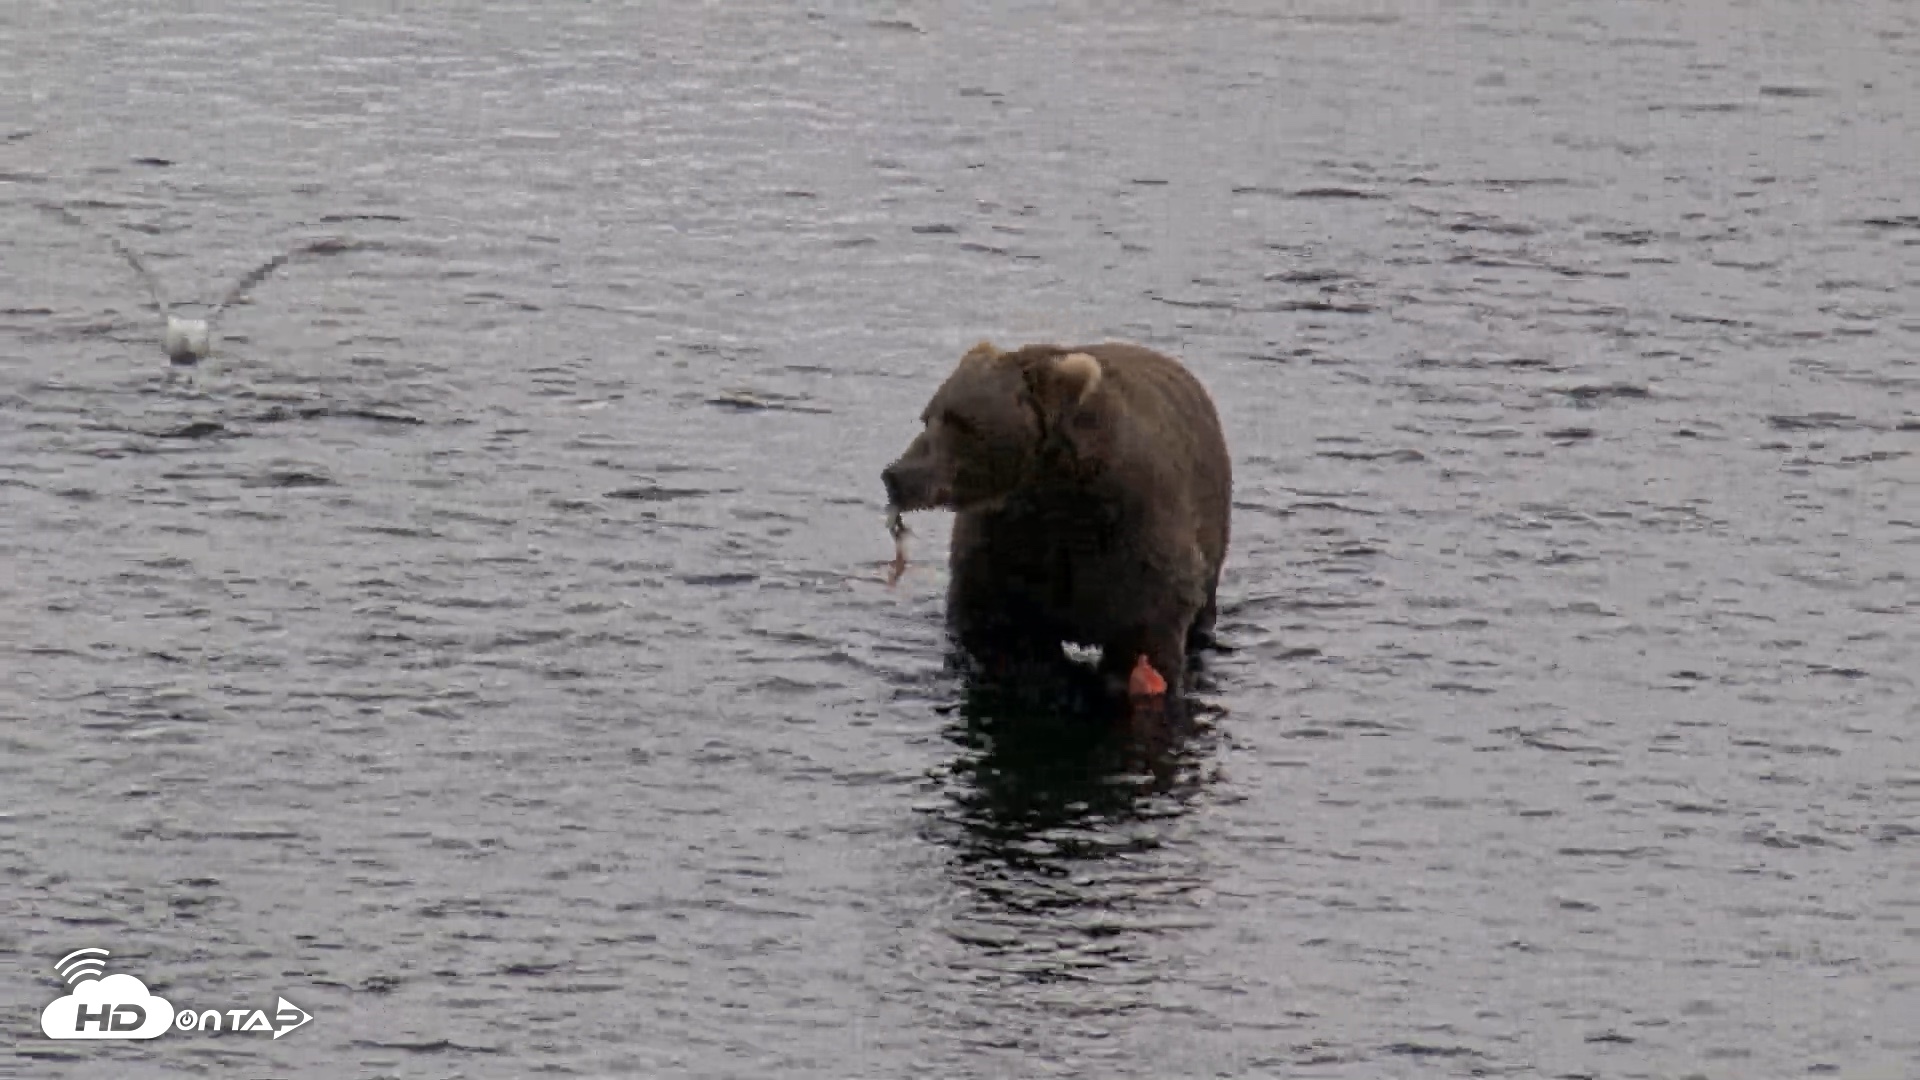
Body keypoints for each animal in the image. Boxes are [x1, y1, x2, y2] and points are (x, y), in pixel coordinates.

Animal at [882, 340, 1232, 703]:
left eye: (963, 424)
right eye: (928, 417)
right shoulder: (1004, 543)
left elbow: (1148, 636)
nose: (896, 475)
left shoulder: (1134, 536)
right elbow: (993, 626)